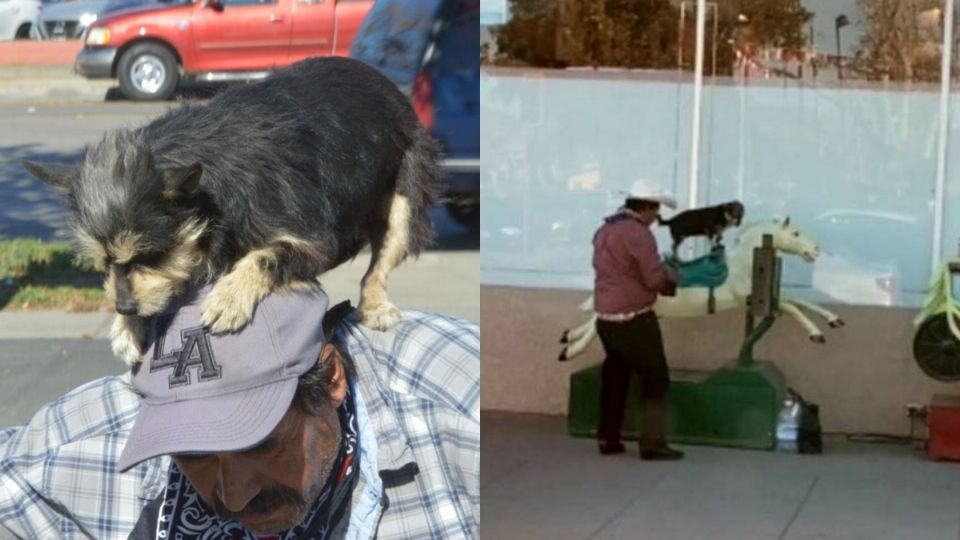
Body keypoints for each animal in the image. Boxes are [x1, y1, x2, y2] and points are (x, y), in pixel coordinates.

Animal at [23, 57, 438, 364]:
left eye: (153, 255)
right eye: (103, 262)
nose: (124, 308)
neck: (212, 193)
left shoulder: (316, 240)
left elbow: (267, 255)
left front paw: (229, 296)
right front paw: (128, 327)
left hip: (404, 199)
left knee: (378, 265)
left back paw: (375, 306)